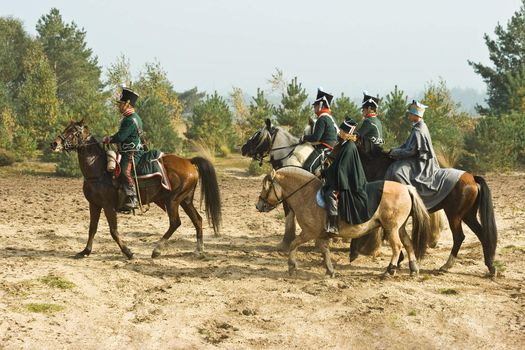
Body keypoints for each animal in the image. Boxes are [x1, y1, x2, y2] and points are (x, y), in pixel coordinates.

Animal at [50, 120, 220, 260]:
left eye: (73, 131)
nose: (54, 144)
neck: (99, 170)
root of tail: (188, 161)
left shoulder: (108, 206)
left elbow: (113, 231)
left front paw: (128, 252)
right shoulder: (95, 205)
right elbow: (92, 228)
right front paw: (85, 251)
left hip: (172, 200)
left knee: (175, 223)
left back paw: (157, 250)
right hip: (185, 200)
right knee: (197, 220)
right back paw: (198, 250)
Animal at [255, 166, 430, 276]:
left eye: (265, 187)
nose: (258, 205)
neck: (306, 194)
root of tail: (406, 188)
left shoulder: (308, 232)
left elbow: (293, 244)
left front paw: (292, 266)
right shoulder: (320, 235)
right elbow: (324, 250)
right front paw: (330, 270)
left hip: (391, 228)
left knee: (397, 247)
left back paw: (389, 271)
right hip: (399, 228)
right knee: (408, 244)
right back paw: (413, 269)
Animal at [352, 142, 496, 276]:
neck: (379, 167)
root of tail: (472, 178)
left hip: (454, 216)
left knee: (459, 237)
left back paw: (446, 266)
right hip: (468, 215)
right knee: (482, 234)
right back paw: (491, 267)